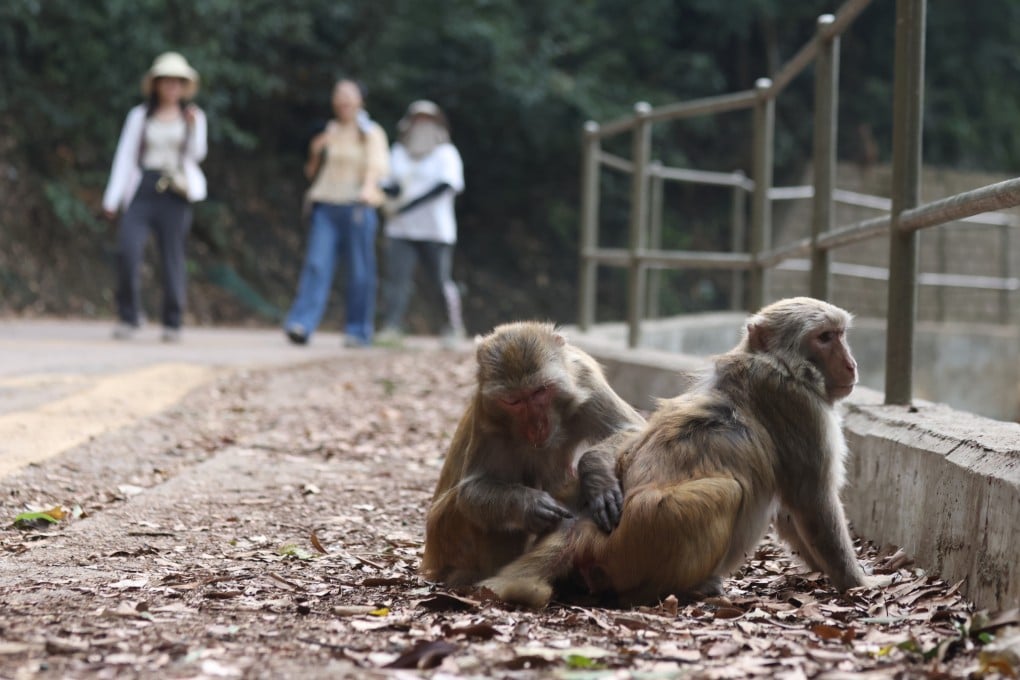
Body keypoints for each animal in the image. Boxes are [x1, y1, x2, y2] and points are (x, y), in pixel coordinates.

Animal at [420, 321, 645, 587]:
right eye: (513, 401)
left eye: (540, 391)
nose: (536, 426)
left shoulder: (586, 379)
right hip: (445, 534)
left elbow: (632, 429)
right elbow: (471, 491)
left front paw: (596, 475)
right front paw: (529, 505)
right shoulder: (487, 418)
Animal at [480, 297, 880, 608]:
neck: (778, 364)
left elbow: (790, 509)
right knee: (726, 491)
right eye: (825, 338)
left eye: (840, 335)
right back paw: (685, 589)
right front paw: (857, 582)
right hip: (648, 530)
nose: (851, 364)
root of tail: (583, 530)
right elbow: (812, 500)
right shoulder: (799, 405)